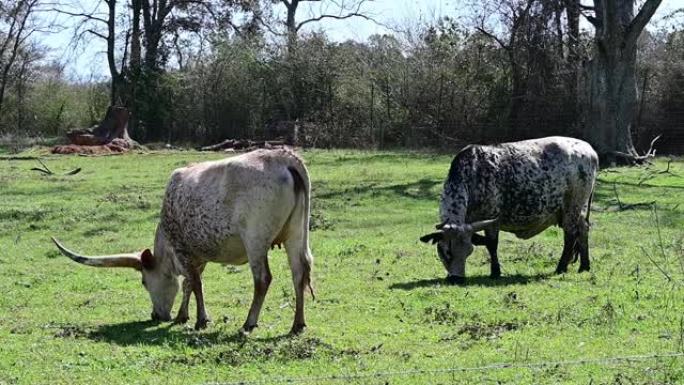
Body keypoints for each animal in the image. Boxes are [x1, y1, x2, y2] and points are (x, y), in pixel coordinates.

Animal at [52, 148, 314, 334]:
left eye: (144, 282)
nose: (155, 316)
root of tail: (284, 158)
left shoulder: (182, 249)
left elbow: (195, 283)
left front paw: (201, 320)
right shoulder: (198, 255)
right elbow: (189, 283)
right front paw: (182, 316)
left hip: (255, 240)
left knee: (263, 279)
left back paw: (249, 323)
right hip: (295, 235)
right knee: (299, 273)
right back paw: (297, 325)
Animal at [416, 136, 600, 284]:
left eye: (469, 251)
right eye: (445, 252)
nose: (456, 279)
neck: (472, 175)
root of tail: (589, 150)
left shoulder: (491, 219)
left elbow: (492, 245)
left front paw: (495, 272)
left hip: (572, 206)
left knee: (570, 236)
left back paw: (561, 267)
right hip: (579, 209)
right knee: (583, 230)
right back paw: (584, 266)